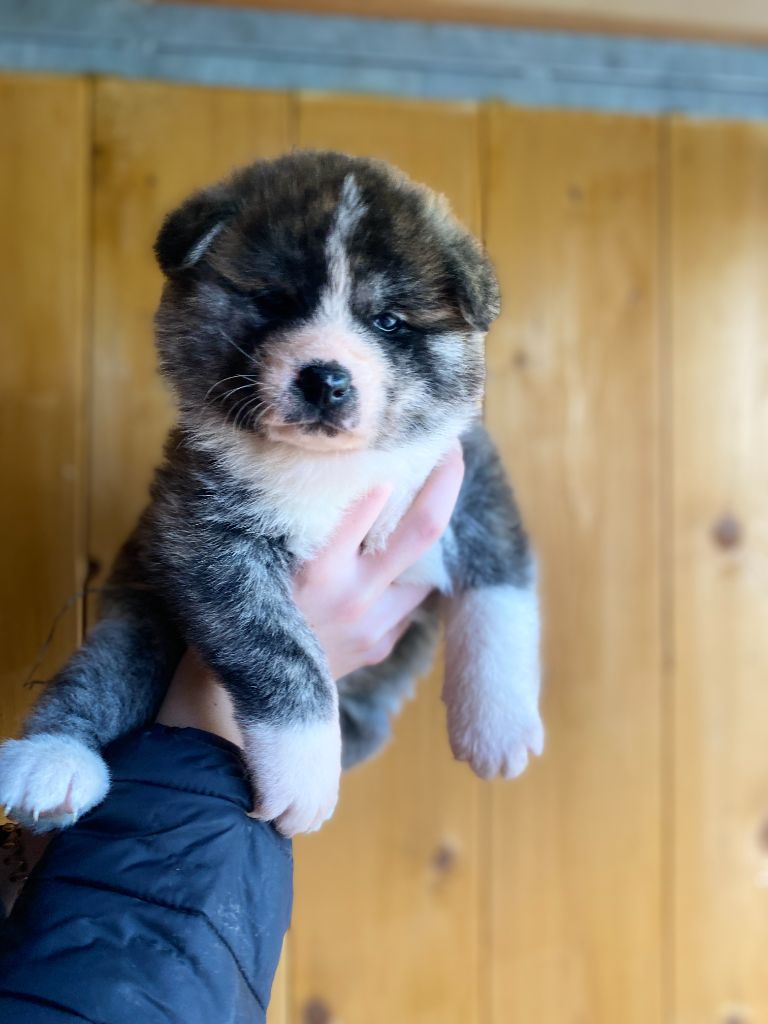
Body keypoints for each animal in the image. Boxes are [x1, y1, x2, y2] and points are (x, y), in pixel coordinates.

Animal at [0, 151, 543, 837]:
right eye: (275, 301)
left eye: (388, 321)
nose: (326, 380)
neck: (328, 466)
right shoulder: (206, 537)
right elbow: (282, 653)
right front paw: (305, 773)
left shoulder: (472, 484)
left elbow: (500, 598)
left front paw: (499, 727)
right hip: (139, 617)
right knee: (100, 676)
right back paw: (50, 763)